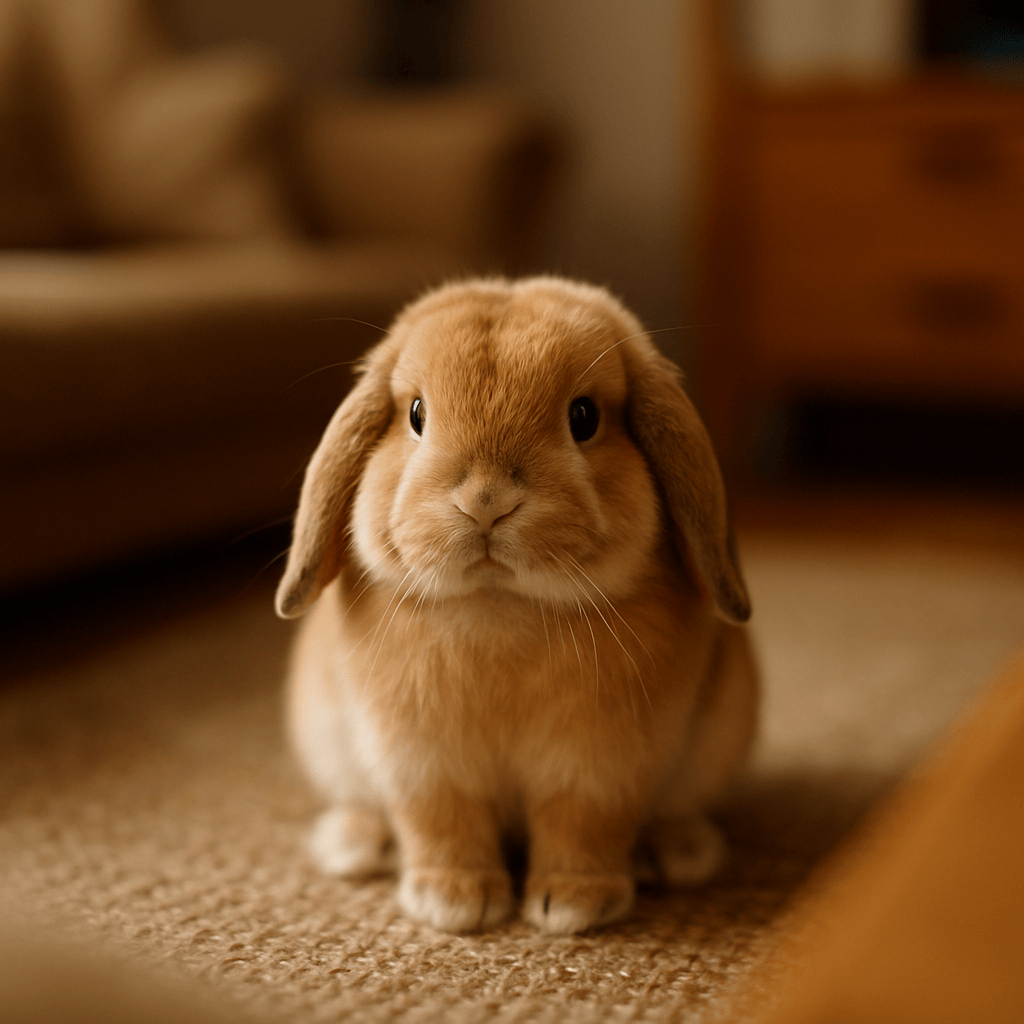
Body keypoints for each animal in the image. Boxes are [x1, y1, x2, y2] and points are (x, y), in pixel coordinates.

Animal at [275, 276, 759, 934]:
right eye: (416, 415)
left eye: (584, 418)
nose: (485, 502)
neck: (501, 606)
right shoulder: (422, 762)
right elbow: (442, 824)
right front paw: (454, 902)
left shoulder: (601, 765)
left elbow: (581, 826)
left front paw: (573, 906)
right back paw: (353, 845)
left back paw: (681, 853)